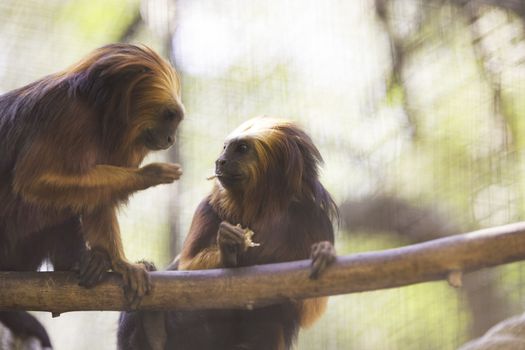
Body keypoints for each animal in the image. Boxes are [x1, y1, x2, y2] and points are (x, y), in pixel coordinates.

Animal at [0, 42, 184, 346]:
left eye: (176, 121)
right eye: (169, 117)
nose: (171, 139)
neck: (100, 115)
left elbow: (98, 200)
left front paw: (120, 262)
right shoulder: (66, 115)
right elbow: (32, 181)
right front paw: (148, 175)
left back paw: (82, 263)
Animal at [117, 117, 336, 350]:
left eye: (242, 149)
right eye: (225, 148)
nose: (220, 161)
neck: (262, 207)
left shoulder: (314, 218)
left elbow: (310, 306)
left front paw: (323, 254)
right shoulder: (207, 208)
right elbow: (187, 268)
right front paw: (228, 248)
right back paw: (152, 328)